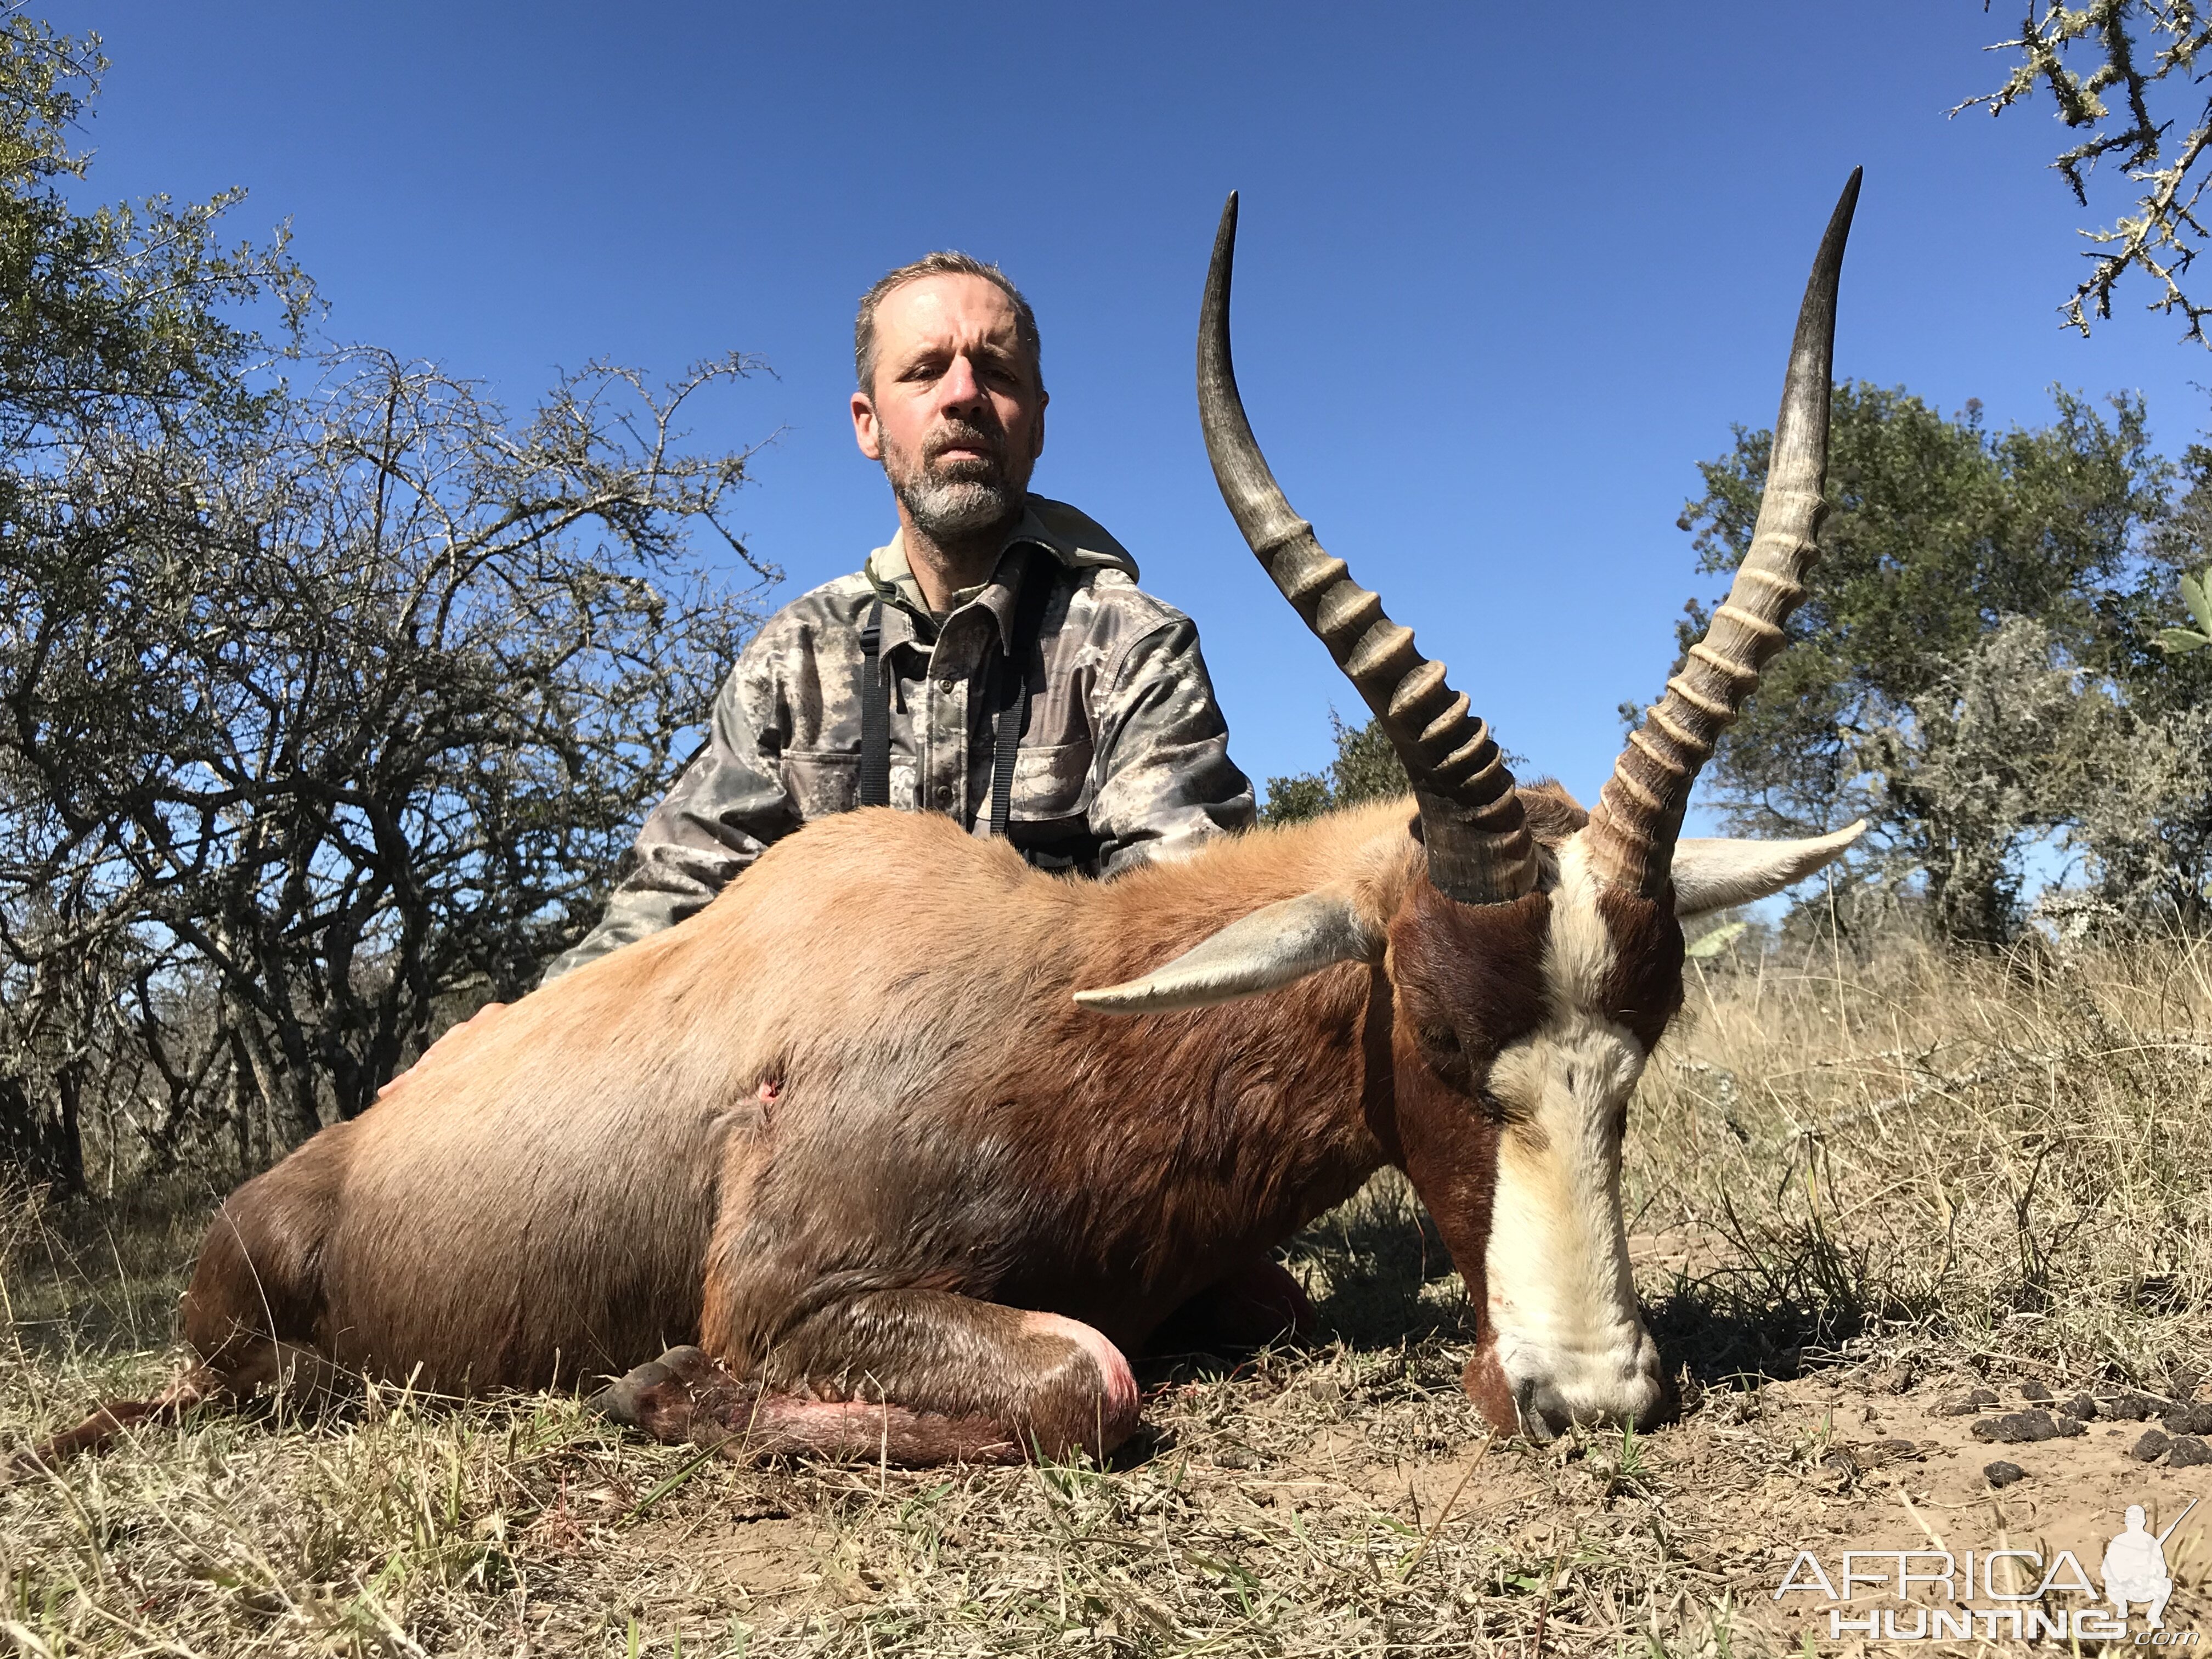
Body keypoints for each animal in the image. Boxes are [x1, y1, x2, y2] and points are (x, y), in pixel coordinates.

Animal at [26, 169, 1867, 1477]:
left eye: (1642, 1042)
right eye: (1432, 1029)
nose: (1591, 1395)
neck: (1054, 997)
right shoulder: (803, 1294)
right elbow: (1088, 1382)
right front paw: (654, 1387)